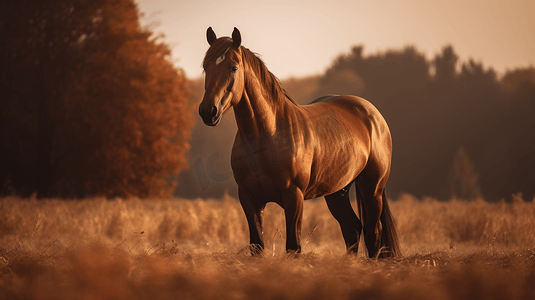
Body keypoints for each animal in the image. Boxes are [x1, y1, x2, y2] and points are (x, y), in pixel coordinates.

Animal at [199, 27, 400, 258]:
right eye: (206, 67)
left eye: (233, 67)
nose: (208, 111)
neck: (267, 135)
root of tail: (372, 114)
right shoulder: (249, 198)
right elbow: (257, 246)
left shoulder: (294, 197)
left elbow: (293, 247)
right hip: (337, 193)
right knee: (352, 229)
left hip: (372, 189)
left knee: (373, 235)